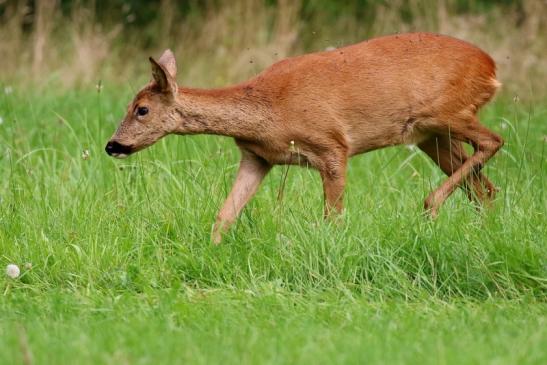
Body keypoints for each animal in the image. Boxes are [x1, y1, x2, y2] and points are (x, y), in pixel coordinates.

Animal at [106, 31, 506, 242]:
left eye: (141, 109)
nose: (112, 145)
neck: (268, 109)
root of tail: (491, 66)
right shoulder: (257, 156)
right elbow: (225, 213)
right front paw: (209, 252)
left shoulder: (332, 145)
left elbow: (333, 217)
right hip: (429, 135)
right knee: (485, 188)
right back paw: (482, 232)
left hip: (447, 112)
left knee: (493, 142)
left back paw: (430, 206)